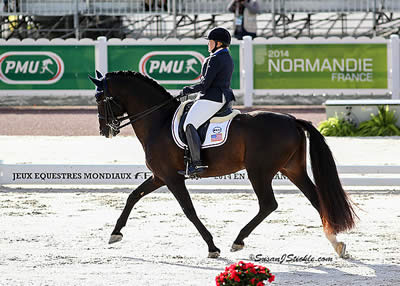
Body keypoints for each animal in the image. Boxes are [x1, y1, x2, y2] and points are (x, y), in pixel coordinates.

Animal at [89, 70, 358, 258]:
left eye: (99, 98)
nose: (104, 130)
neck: (159, 121)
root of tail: (292, 120)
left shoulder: (172, 177)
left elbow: (189, 210)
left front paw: (212, 247)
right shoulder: (160, 176)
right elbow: (133, 196)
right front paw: (115, 234)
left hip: (259, 171)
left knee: (268, 204)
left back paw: (238, 241)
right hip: (293, 169)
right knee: (316, 199)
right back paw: (337, 244)